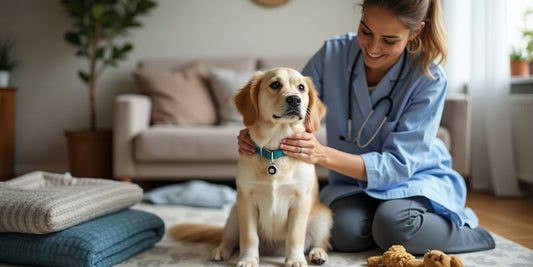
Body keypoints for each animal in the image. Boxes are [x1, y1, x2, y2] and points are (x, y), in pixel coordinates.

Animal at [168, 67, 330, 267]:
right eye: (275, 84)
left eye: (301, 88)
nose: (294, 99)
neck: (274, 151)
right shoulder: (246, 200)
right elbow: (249, 237)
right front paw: (248, 260)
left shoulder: (300, 200)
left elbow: (295, 236)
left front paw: (295, 260)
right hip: (234, 213)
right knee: (229, 238)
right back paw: (221, 250)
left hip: (323, 217)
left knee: (319, 242)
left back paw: (318, 253)